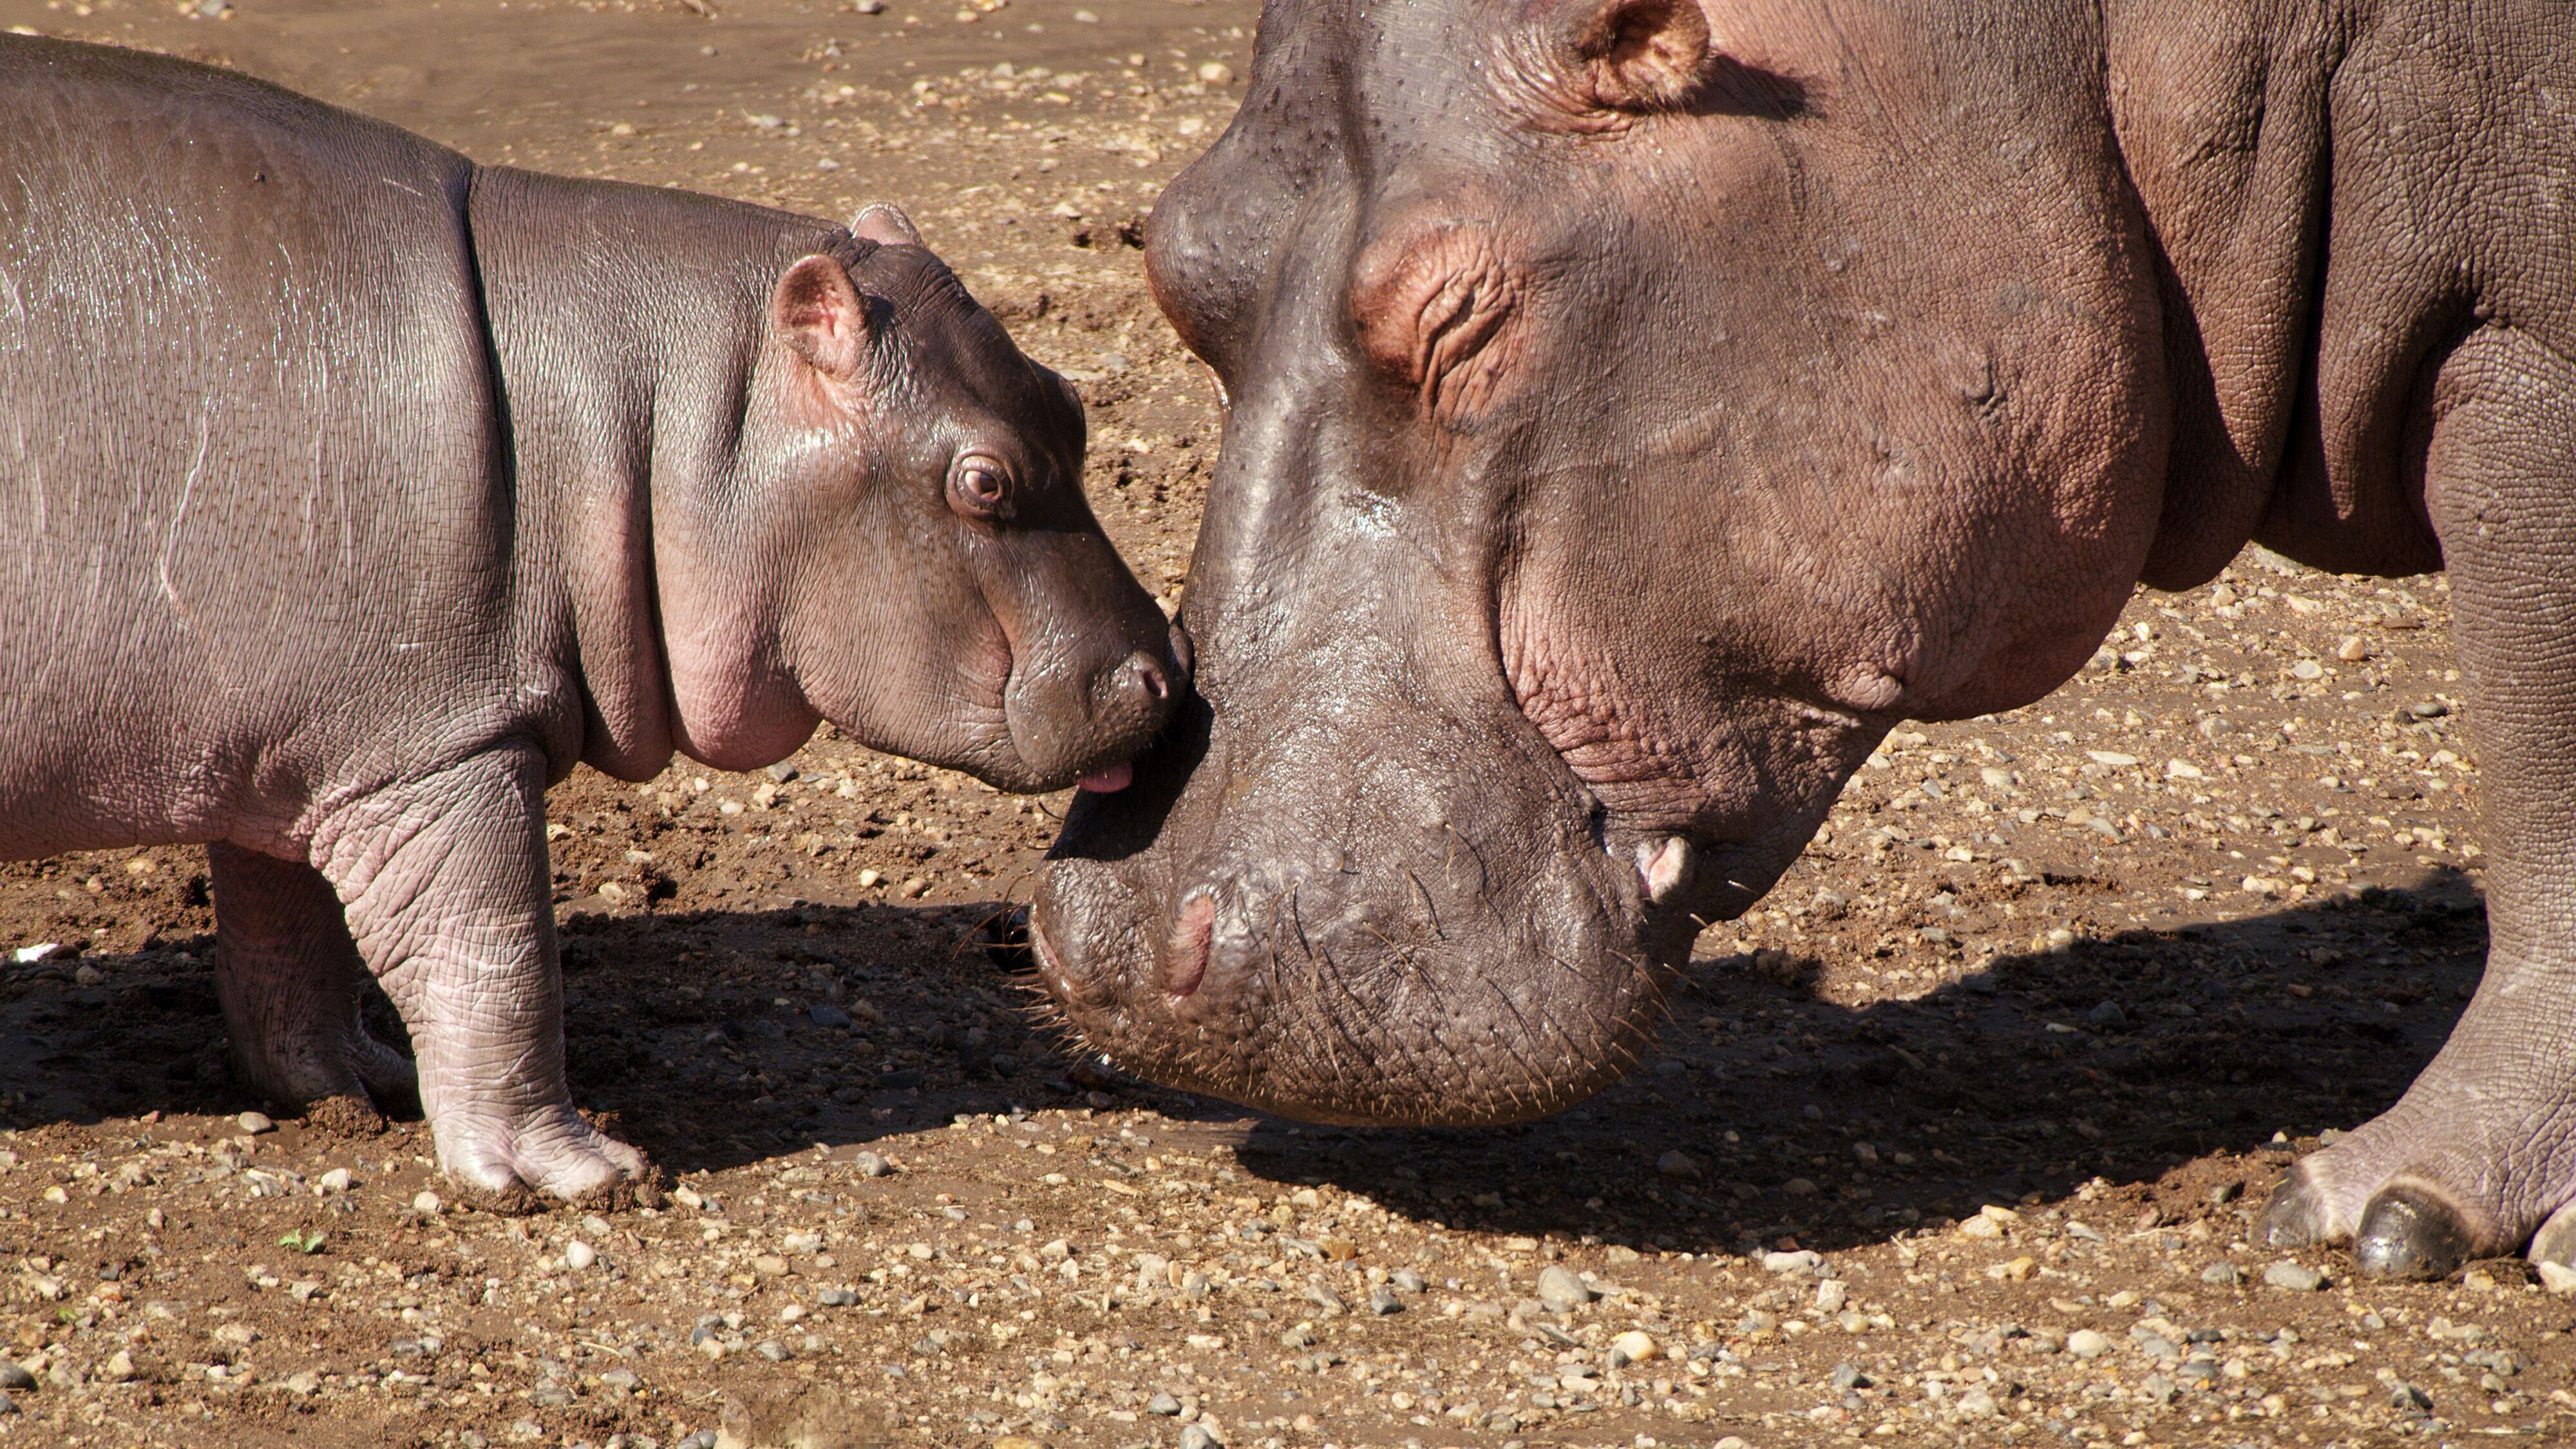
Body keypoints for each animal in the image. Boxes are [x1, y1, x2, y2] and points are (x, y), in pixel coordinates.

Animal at [0, 39, 1180, 1201]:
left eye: (1072, 402)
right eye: (983, 481)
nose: (1170, 672)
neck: (647, 406)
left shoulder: (300, 746)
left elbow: (292, 933)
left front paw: (359, 1087)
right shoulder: (438, 741)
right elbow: (495, 948)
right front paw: (579, 1174)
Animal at [1036, 0, 2576, 1268]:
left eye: (1459, 318)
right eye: (1180, 260)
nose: (1115, 937)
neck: (2058, 51)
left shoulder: (2530, 359)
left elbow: (2538, 782)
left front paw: (2383, 1212)